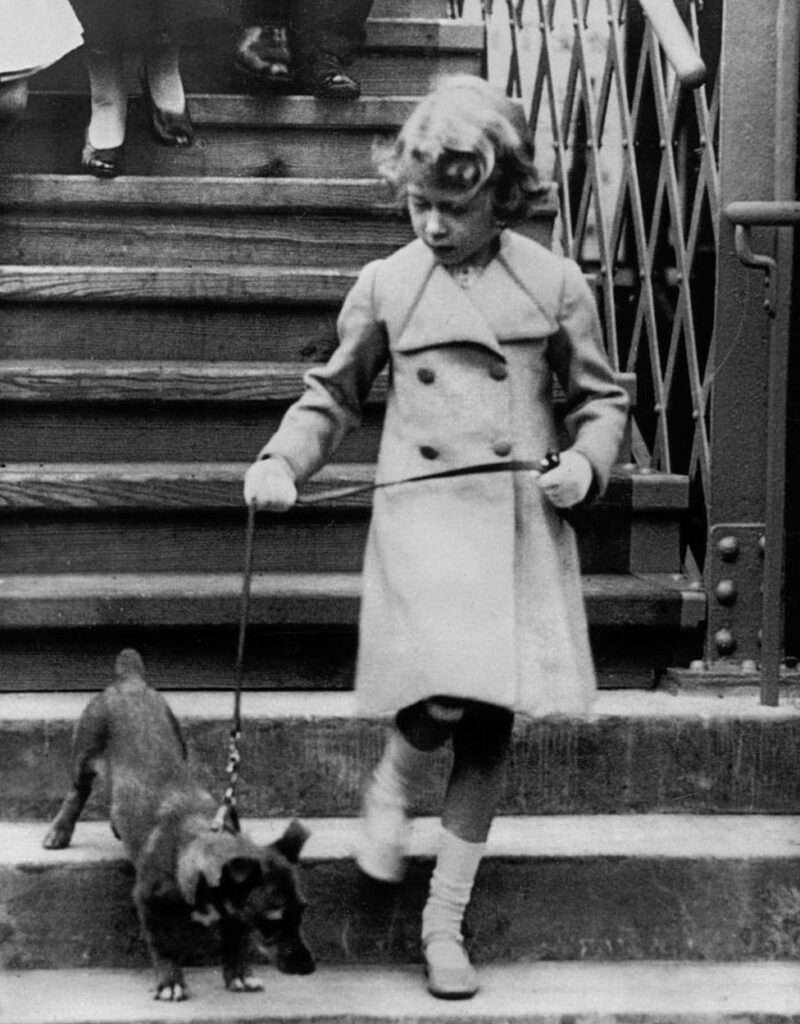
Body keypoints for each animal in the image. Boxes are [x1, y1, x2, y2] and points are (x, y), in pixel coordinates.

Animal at [42, 647, 313, 999]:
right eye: (272, 921)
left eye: (302, 912)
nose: (310, 968)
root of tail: (130, 680)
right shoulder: (147, 902)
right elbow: (163, 945)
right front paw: (171, 982)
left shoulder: (233, 914)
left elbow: (234, 940)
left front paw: (239, 974)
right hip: (85, 753)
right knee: (76, 794)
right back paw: (59, 831)